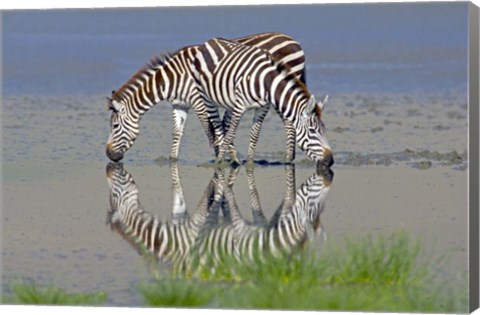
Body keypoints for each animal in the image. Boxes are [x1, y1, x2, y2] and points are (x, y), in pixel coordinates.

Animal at [106, 32, 306, 163]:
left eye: (115, 126)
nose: (108, 155)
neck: (173, 77)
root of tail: (293, 40)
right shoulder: (180, 105)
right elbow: (177, 134)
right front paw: (173, 160)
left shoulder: (200, 101)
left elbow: (211, 131)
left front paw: (227, 158)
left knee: (290, 121)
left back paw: (288, 159)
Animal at [191, 37, 334, 168]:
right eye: (312, 131)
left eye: (325, 130)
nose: (330, 161)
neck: (266, 83)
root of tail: (209, 41)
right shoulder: (240, 107)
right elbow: (231, 134)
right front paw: (219, 162)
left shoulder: (263, 108)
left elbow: (255, 135)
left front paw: (249, 163)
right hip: (206, 98)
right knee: (218, 126)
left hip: (230, 102)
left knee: (223, 124)